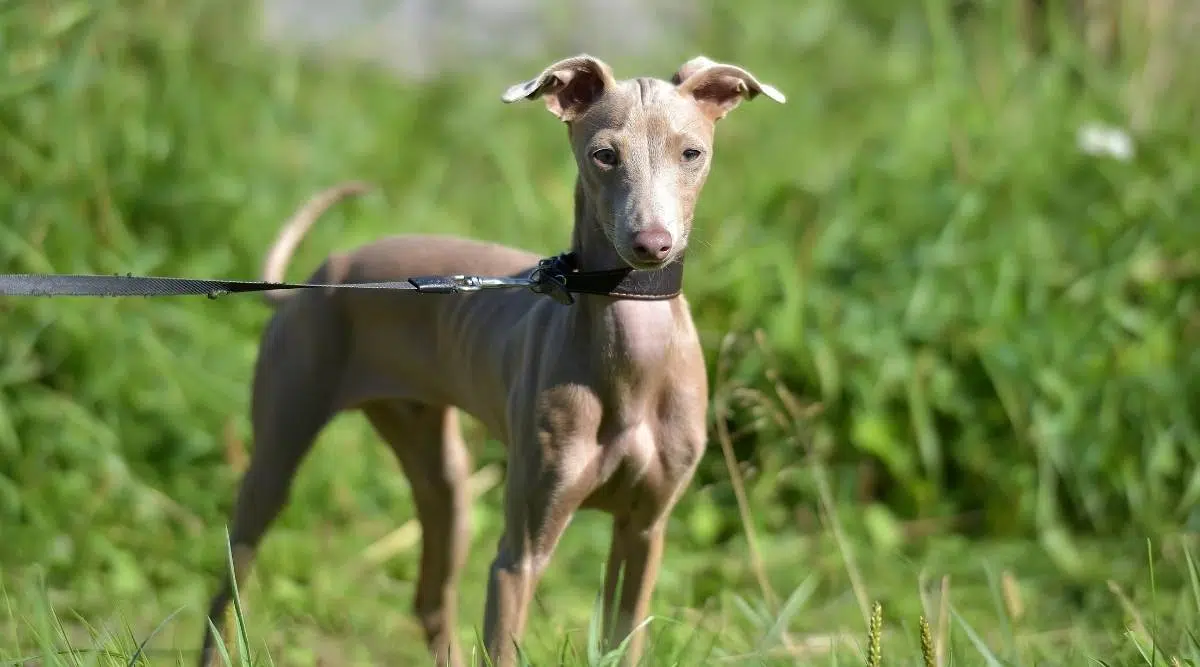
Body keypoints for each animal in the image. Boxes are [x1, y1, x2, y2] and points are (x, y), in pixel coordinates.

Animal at [200, 53, 782, 667]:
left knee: (430, 596)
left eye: (691, 153)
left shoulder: (645, 530)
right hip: (276, 458)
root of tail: (320, 276)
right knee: (227, 588)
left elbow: (625, 636)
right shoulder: (519, 553)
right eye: (604, 154)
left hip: (441, 473)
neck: (634, 361)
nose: (651, 243)